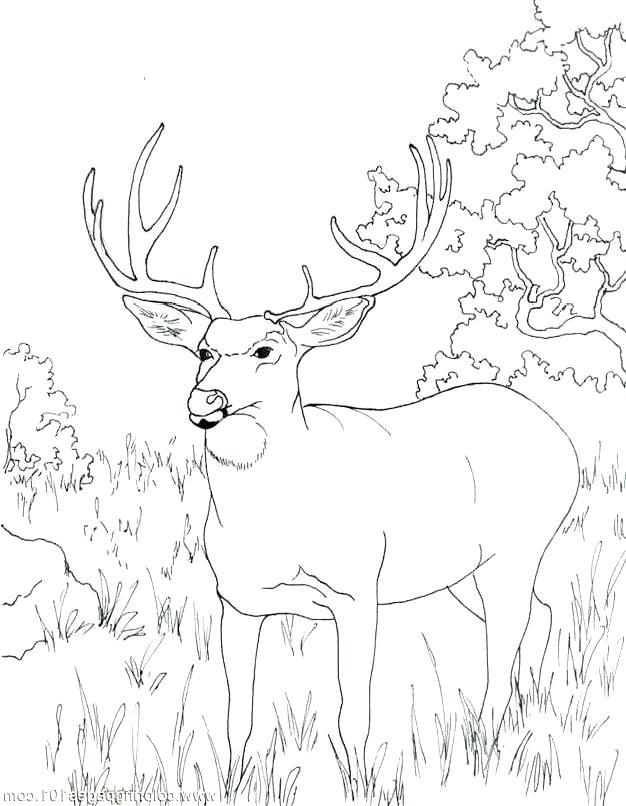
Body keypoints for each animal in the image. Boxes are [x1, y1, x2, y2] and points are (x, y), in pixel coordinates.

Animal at [83, 125, 579, 783]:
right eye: (203, 350)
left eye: (268, 349)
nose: (203, 400)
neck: (276, 528)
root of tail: (560, 435)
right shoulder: (236, 602)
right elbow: (237, 714)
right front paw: (235, 781)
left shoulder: (356, 592)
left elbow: (353, 715)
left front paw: (361, 782)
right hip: (460, 570)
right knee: (540, 615)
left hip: (517, 546)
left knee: (508, 636)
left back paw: (489, 742)